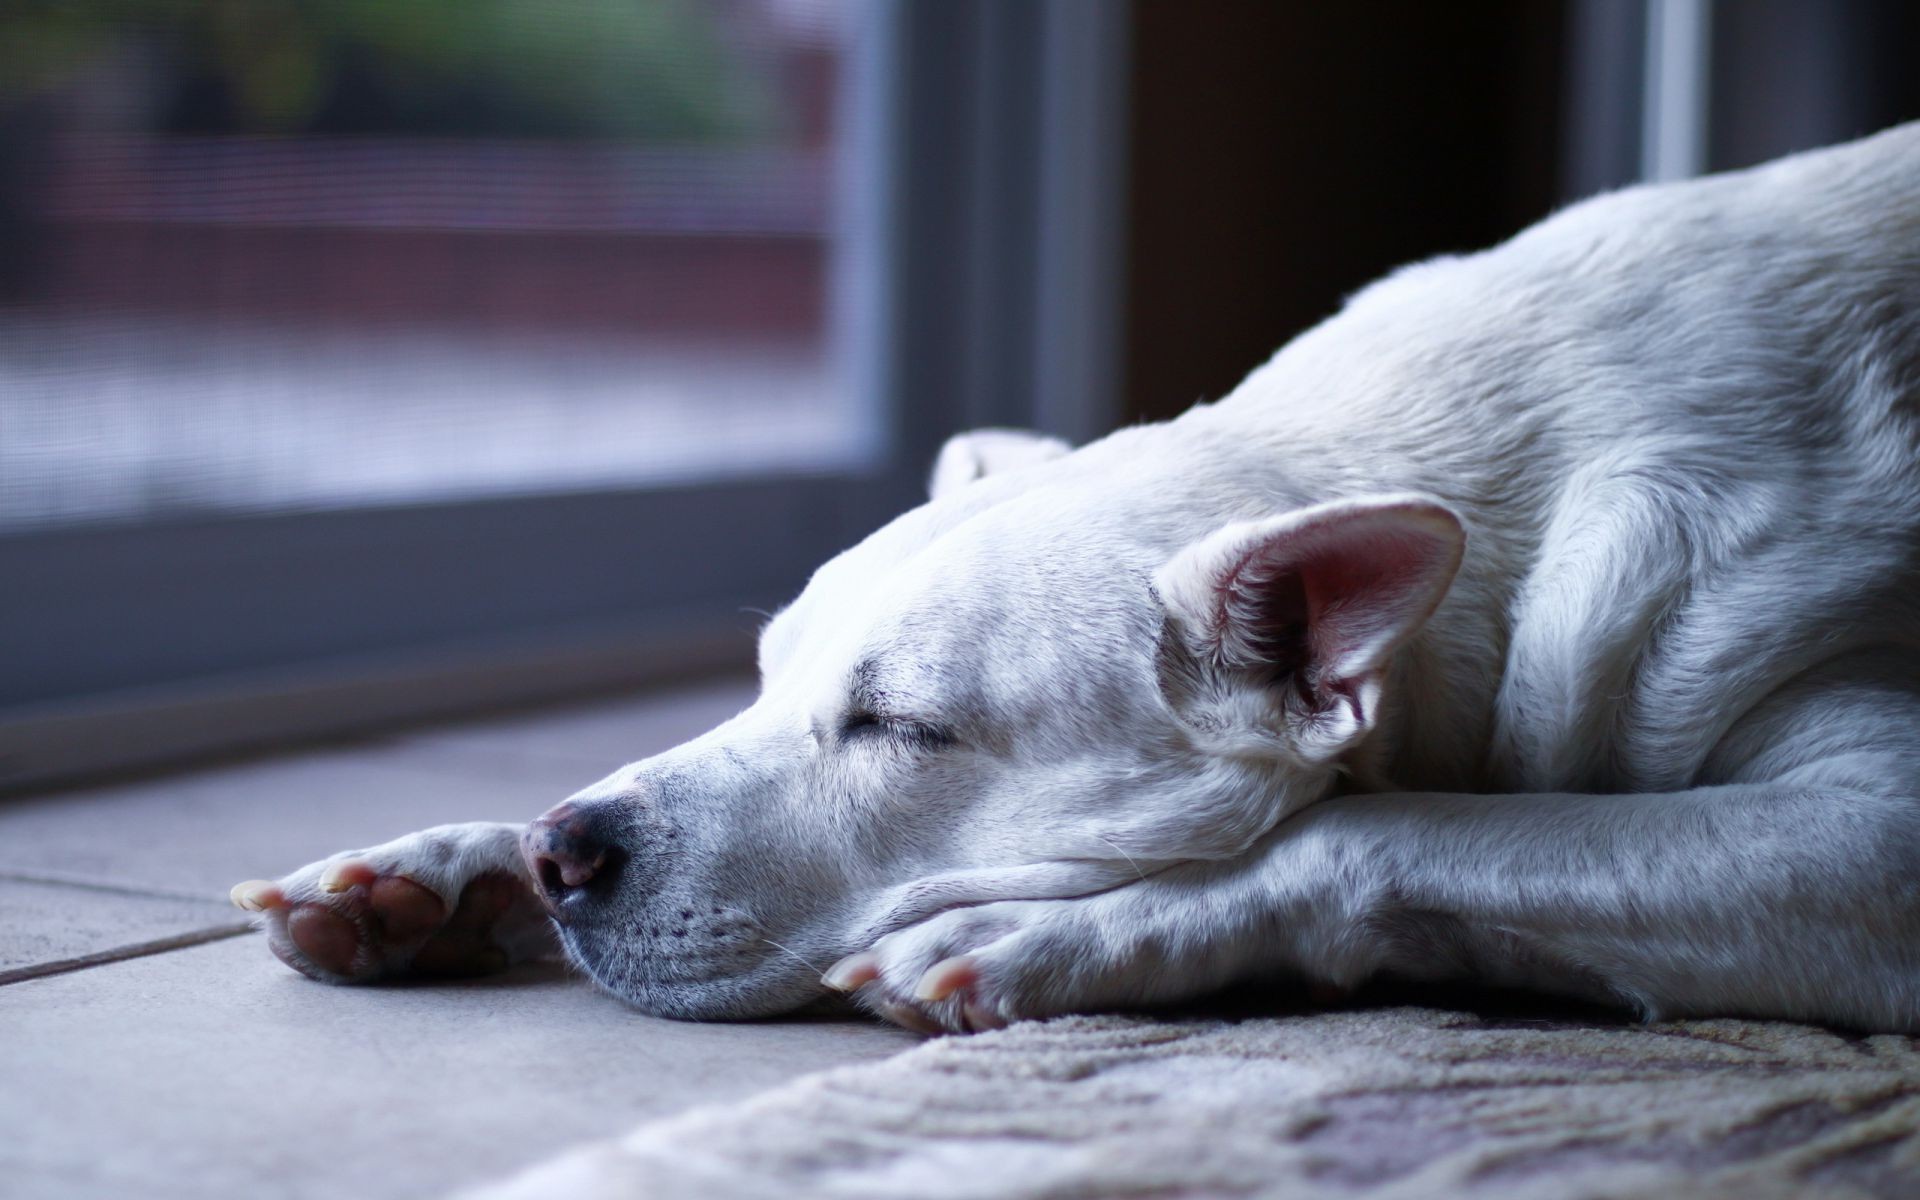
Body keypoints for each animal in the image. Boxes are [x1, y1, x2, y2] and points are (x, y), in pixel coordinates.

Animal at [232, 126, 1920, 1036]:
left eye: (905, 730)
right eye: (763, 678)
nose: (564, 852)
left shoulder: (1868, 834)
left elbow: (1414, 830)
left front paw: (1076, 940)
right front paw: (447, 868)